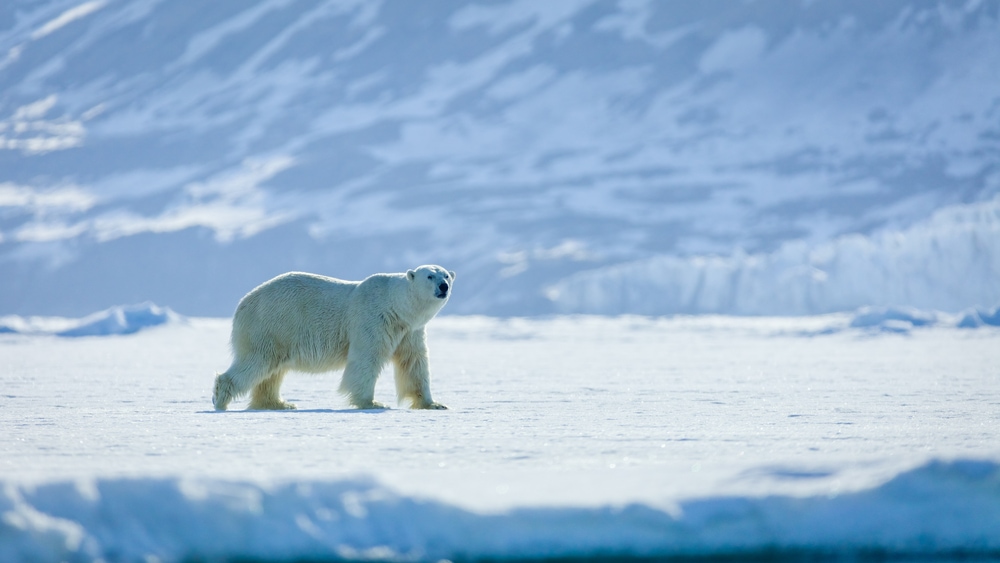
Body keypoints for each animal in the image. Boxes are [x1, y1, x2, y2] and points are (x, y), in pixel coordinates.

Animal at [212, 265, 455, 411]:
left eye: (445, 274)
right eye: (430, 275)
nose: (444, 286)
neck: (396, 306)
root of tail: (244, 303)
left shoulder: (410, 331)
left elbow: (414, 363)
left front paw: (434, 404)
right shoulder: (373, 320)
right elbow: (366, 359)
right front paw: (372, 402)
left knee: (272, 372)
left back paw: (279, 403)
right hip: (271, 325)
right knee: (257, 362)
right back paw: (221, 399)